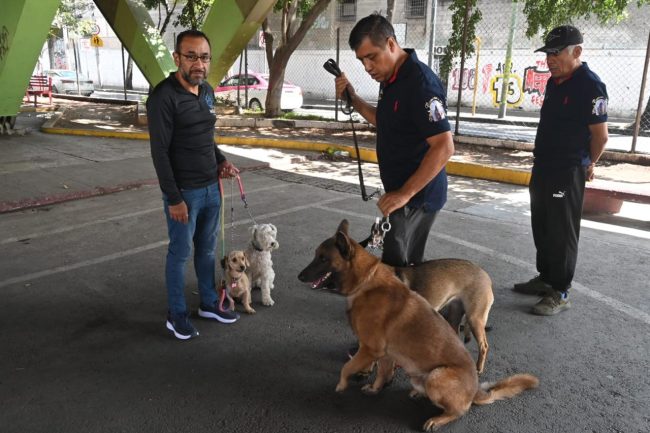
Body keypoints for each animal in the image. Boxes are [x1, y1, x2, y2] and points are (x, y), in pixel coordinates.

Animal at [296, 221, 536, 430]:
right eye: (316, 256)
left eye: (323, 259)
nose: (299, 276)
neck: (366, 281)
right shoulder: (385, 353)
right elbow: (382, 373)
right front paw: (374, 388)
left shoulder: (371, 348)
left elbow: (348, 366)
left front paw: (342, 385)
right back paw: (418, 393)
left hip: (446, 362)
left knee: (460, 409)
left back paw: (438, 418)